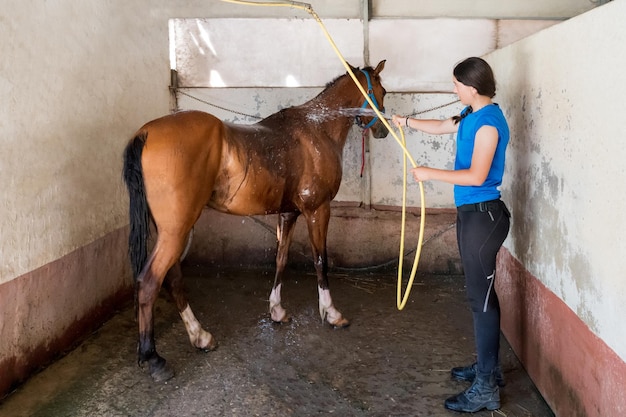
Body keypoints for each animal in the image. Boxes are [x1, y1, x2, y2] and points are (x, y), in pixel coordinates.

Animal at [120, 59, 386, 380]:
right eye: (383, 91)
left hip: (171, 231)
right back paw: (154, 358)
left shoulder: (288, 214)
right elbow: (320, 261)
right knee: (149, 282)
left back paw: (200, 337)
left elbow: (281, 260)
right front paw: (332, 313)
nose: (384, 131)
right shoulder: (318, 210)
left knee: (172, 279)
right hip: (176, 231)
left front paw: (277, 311)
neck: (318, 126)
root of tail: (146, 133)